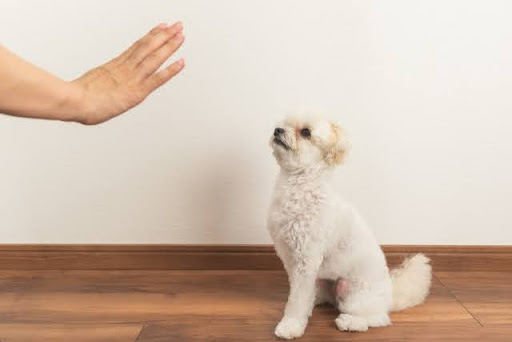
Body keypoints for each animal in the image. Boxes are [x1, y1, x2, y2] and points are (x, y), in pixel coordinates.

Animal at [268, 115, 432, 340]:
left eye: (306, 132)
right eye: (283, 123)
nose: (277, 130)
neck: (300, 184)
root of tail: (390, 294)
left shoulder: (306, 259)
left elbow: (297, 299)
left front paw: (290, 325)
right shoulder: (289, 257)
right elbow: (299, 293)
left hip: (355, 294)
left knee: (377, 318)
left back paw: (351, 322)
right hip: (324, 281)